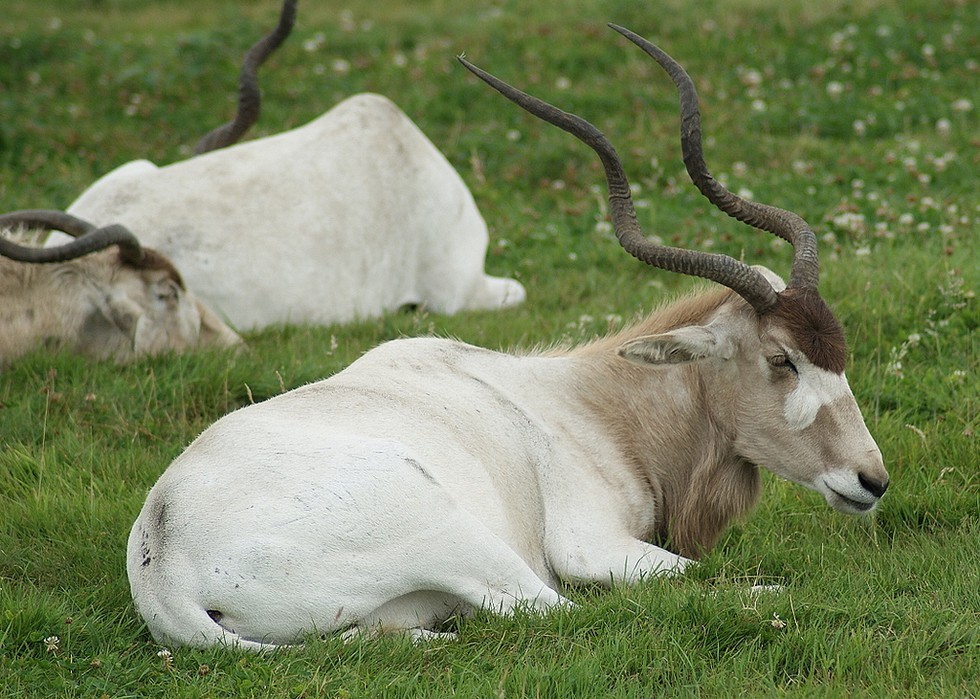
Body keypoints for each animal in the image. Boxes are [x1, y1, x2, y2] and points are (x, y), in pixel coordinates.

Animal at [128, 26, 888, 652]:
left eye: (837, 353)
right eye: (781, 358)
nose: (872, 480)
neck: (590, 404)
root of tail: (166, 566)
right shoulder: (592, 544)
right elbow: (696, 579)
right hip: (451, 525)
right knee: (550, 609)